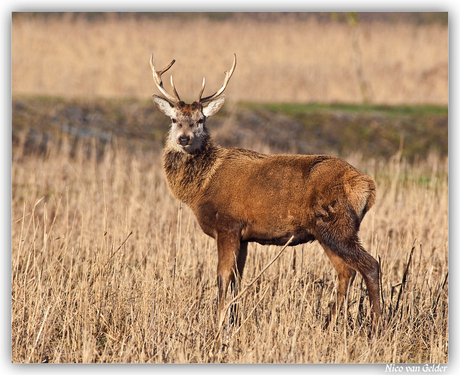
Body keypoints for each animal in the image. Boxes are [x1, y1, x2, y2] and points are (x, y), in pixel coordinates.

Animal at [150, 53, 380, 334]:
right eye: (174, 119)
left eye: (201, 120)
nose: (184, 138)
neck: (202, 187)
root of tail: (368, 186)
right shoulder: (244, 235)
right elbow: (237, 279)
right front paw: (233, 322)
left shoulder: (228, 224)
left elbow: (222, 277)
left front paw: (217, 326)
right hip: (327, 231)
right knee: (346, 272)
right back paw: (328, 324)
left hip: (338, 223)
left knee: (370, 266)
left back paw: (378, 325)